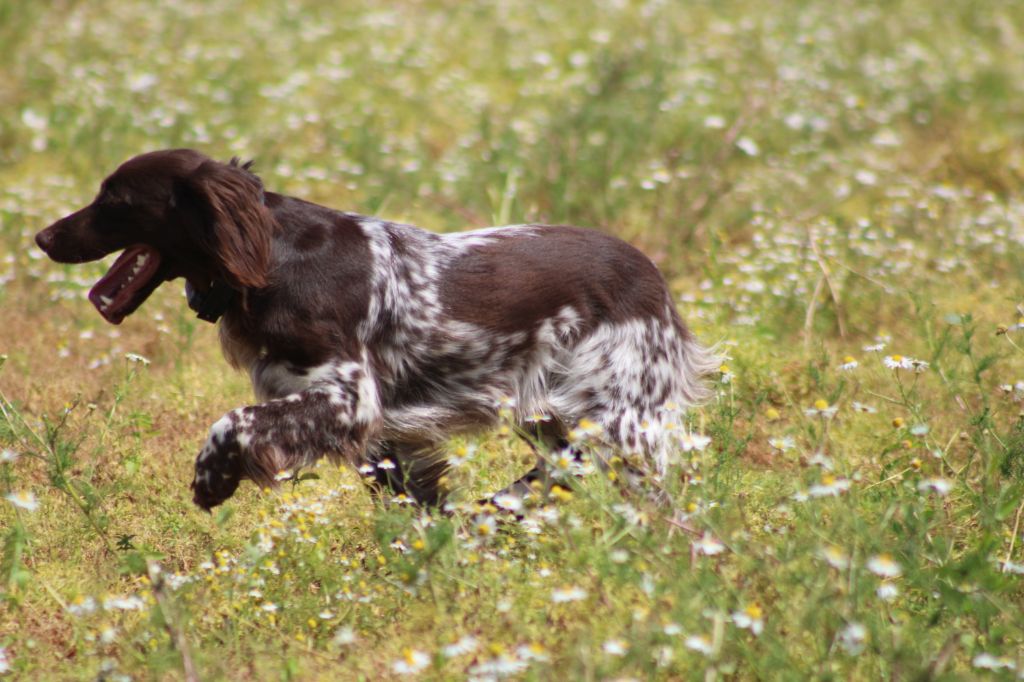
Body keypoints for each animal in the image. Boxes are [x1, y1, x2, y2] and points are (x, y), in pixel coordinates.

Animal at [34, 150, 720, 509]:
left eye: (115, 199)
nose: (42, 237)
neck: (274, 260)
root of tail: (654, 278)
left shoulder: (349, 397)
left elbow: (232, 420)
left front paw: (212, 477)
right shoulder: (382, 433)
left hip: (613, 420)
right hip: (558, 418)